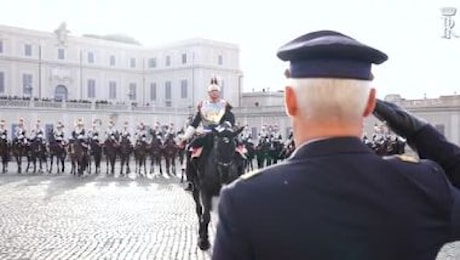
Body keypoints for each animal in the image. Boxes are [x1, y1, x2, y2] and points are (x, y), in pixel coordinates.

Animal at [188, 123, 244, 251]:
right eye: (217, 148)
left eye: (233, 148)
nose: (224, 176)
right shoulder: (205, 191)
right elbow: (206, 216)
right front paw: (203, 241)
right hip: (195, 189)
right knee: (199, 210)